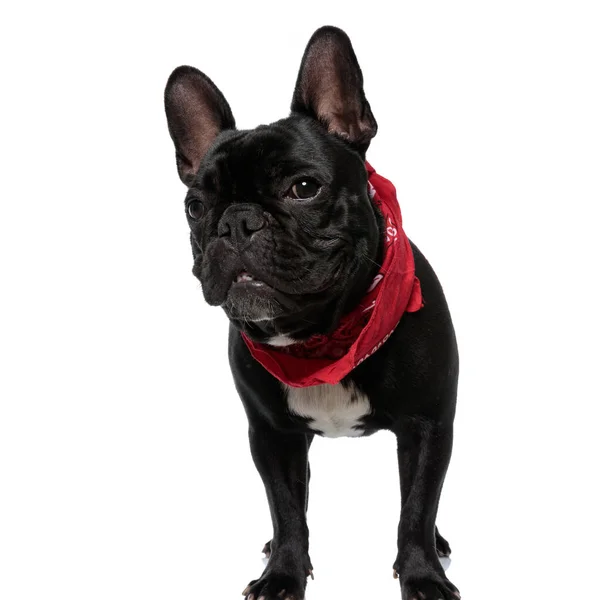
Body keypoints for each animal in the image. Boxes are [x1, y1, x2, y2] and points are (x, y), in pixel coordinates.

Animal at [164, 24, 460, 600]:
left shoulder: (428, 425)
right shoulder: (271, 436)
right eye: (195, 206)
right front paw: (283, 573)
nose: (236, 221)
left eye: (304, 187)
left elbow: (416, 508)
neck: (320, 334)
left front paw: (422, 575)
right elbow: (286, 509)